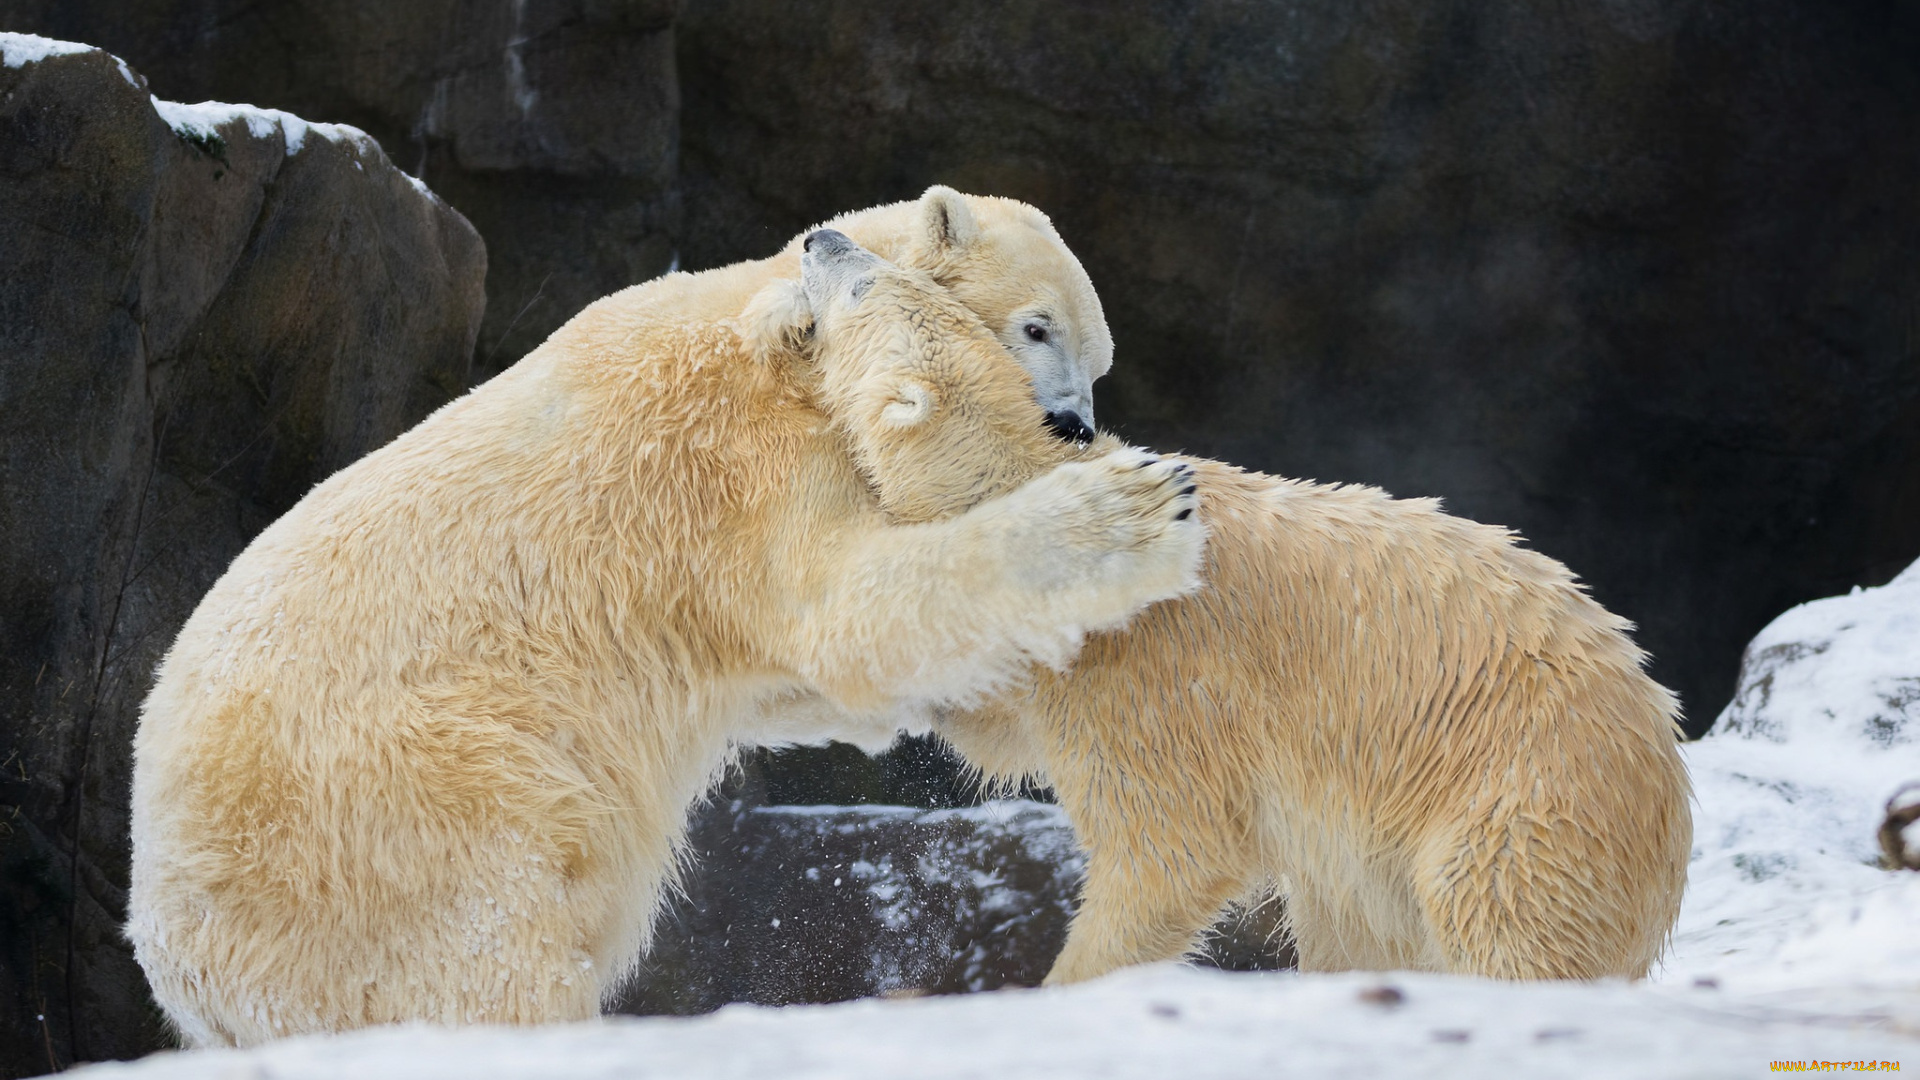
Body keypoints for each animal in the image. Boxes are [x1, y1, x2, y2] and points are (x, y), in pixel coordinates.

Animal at [127, 195, 1190, 1045]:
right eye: (1038, 327)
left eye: (1097, 356)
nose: (1074, 426)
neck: (781, 328)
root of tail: (179, 965)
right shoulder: (743, 461)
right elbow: (845, 610)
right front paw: (1135, 514)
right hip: (413, 812)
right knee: (487, 965)